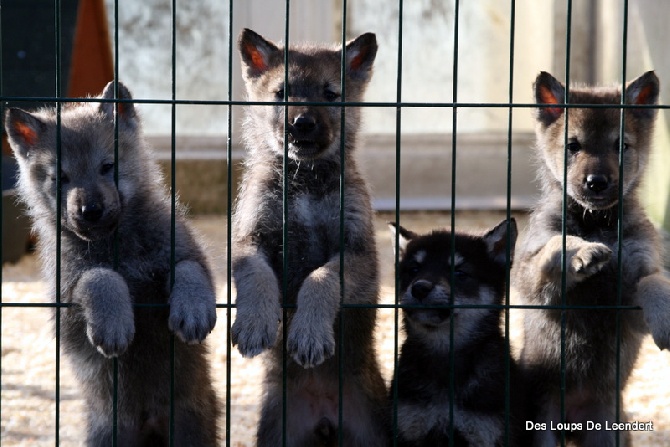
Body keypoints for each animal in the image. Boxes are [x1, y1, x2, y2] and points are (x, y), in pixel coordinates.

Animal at [5, 82, 220, 446]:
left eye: (107, 166)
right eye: (61, 177)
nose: (89, 210)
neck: (119, 244)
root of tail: (150, 420)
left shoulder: (188, 252)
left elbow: (187, 268)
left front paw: (193, 310)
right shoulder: (68, 302)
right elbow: (99, 276)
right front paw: (113, 322)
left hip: (193, 429)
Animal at [231, 29, 388, 446]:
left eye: (331, 94)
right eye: (280, 93)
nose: (301, 124)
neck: (305, 179)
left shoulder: (358, 253)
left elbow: (320, 279)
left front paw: (309, 332)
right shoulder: (249, 241)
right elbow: (257, 275)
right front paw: (255, 322)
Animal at [516, 72, 670, 446]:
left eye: (620, 146)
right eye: (573, 146)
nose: (596, 182)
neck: (596, 222)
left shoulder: (630, 304)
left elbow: (653, 281)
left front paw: (665, 315)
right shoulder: (530, 282)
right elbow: (554, 247)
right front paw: (580, 251)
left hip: (608, 431)